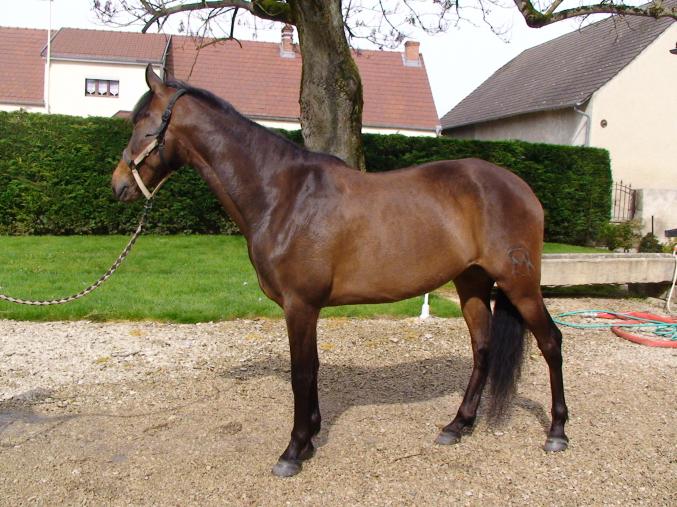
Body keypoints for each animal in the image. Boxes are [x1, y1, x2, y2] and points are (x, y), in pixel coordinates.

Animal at [111, 65, 569, 477]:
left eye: (144, 124)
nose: (119, 186)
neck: (283, 195)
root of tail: (520, 187)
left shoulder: (299, 305)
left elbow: (301, 373)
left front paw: (293, 451)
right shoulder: (306, 308)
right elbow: (312, 368)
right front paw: (311, 437)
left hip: (519, 284)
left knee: (550, 342)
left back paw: (557, 432)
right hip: (471, 282)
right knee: (482, 349)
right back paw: (457, 426)